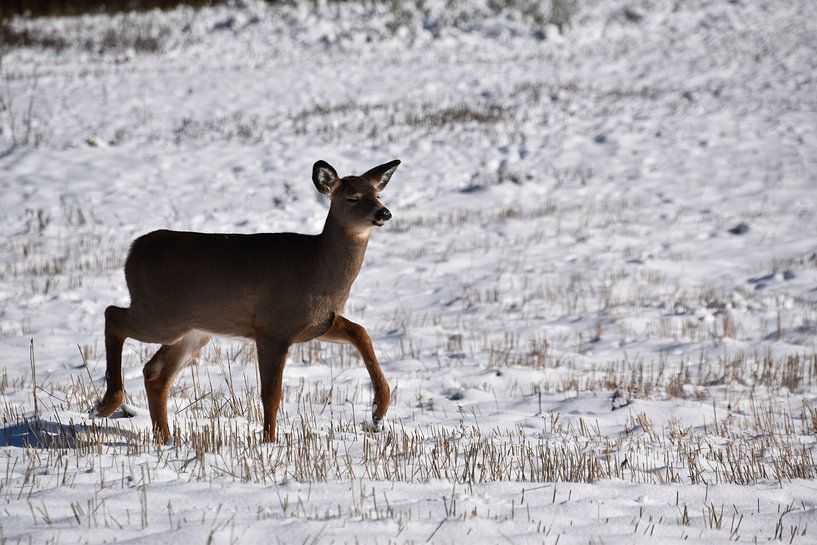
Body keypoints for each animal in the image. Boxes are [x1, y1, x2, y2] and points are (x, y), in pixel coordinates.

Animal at [92, 159, 400, 443]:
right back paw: (106, 405)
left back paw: (165, 439)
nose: (384, 212)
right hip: (161, 316)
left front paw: (378, 411)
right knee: (113, 315)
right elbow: (271, 394)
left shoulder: (317, 323)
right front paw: (269, 443)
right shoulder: (273, 327)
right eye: (352, 197)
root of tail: (132, 252)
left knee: (154, 373)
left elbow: (360, 332)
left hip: (193, 330)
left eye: (377, 194)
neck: (317, 266)